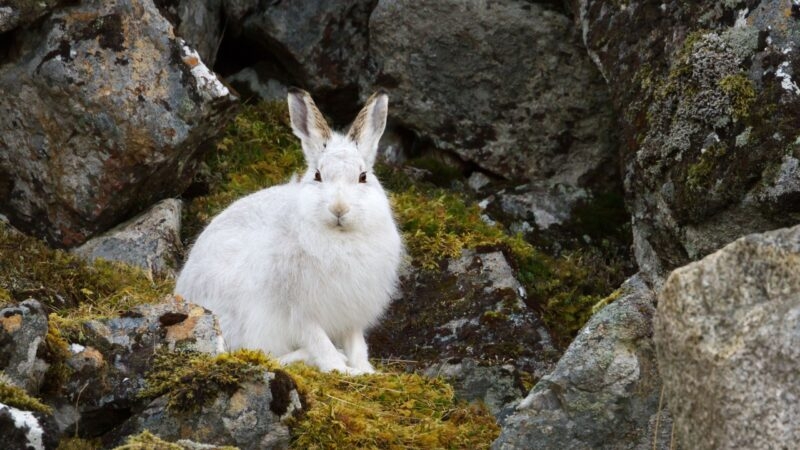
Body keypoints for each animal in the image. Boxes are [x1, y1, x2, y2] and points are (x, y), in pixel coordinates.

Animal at [175, 88, 403, 375]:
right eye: (317, 176)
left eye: (363, 177)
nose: (339, 208)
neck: (340, 238)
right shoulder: (299, 310)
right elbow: (317, 340)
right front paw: (339, 368)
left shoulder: (351, 312)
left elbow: (357, 342)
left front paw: (365, 371)